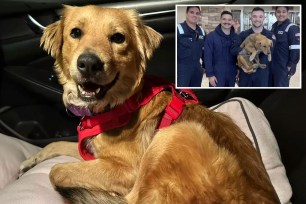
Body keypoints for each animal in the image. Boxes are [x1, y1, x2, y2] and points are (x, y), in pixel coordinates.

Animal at [19, 5, 280, 204]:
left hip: (175, 134)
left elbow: (57, 171)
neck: (123, 102)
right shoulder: (94, 153)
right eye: (75, 32)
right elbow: (56, 144)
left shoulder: (126, 169)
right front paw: (29, 161)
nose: (89, 64)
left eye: (118, 38)